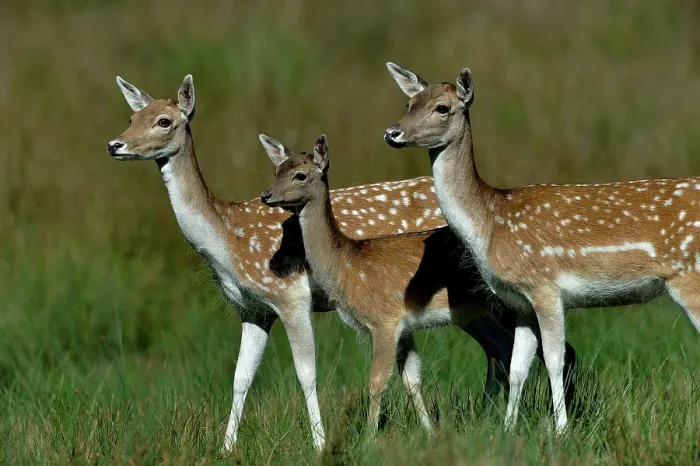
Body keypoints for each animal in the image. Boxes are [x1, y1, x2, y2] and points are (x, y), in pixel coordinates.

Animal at [259, 133, 578, 437]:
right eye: (276, 171)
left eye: (300, 175)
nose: (266, 194)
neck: (349, 267)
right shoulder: (405, 327)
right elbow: (412, 379)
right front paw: (429, 432)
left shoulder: (384, 320)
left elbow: (376, 381)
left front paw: (368, 438)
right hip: (472, 314)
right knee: (502, 349)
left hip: (507, 304)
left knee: (558, 350)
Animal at [383, 62, 700, 435]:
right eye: (409, 104)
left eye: (442, 108)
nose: (393, 133)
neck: (490, 224)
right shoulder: (520, 302)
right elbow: (519, 367)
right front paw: (507, 430)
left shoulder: (545, 288)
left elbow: (553, 360)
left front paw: (561, 430)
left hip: (691, 278)